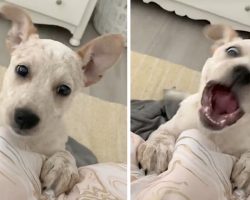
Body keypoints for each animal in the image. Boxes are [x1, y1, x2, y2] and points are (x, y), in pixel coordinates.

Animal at [0, 4, 124, 197]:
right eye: (22, 70)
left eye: (64, 90)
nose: (25, 118)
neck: (26, 143)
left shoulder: (58, 144)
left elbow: (65, 153)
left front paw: (63, 167)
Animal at [139, 24, 250, 196]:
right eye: (232, 51)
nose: (245, 72)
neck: (215, 133)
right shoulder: (175, 124)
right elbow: (163, 132)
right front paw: (157, 148)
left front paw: (247, 169)